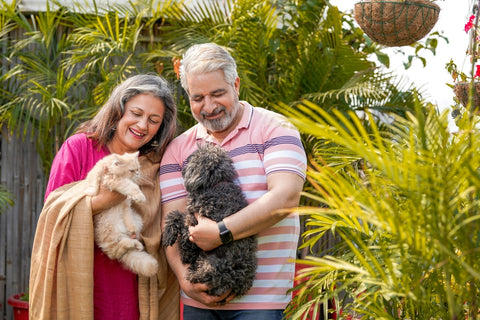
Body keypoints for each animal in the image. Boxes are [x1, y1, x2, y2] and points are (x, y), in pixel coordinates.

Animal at [162, 143, 258, 298]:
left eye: (194, 158)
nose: (184, 166)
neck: (215, 185)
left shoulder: (194, 222)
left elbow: (177, 217)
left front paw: (170, 237)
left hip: (212, 266)